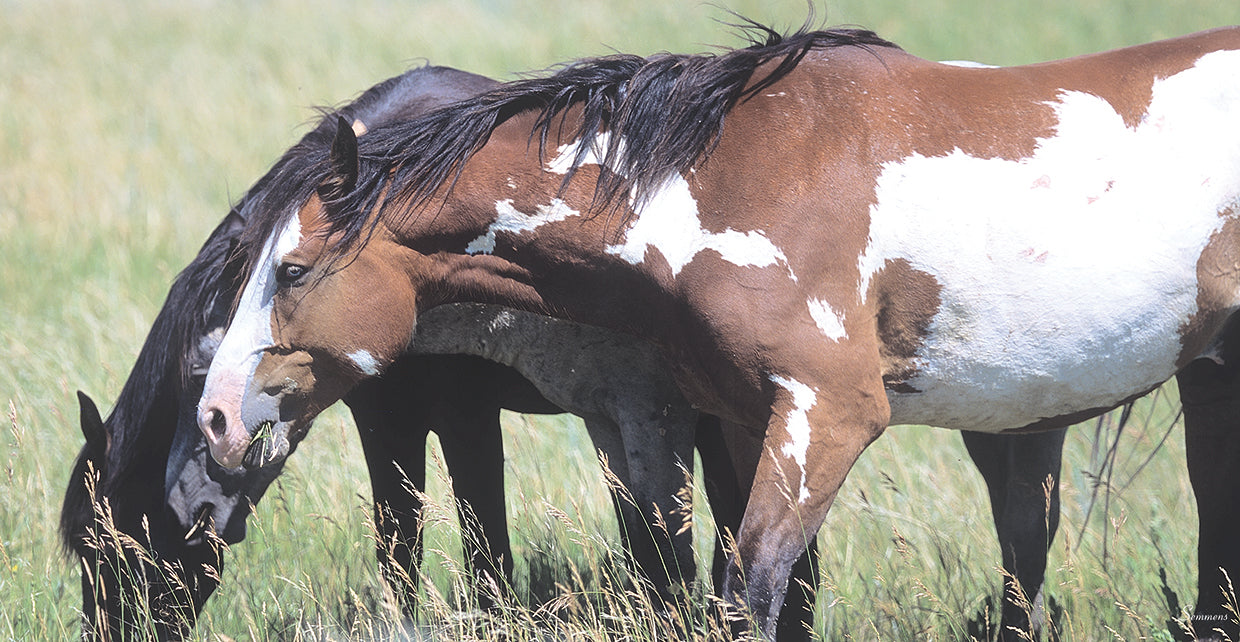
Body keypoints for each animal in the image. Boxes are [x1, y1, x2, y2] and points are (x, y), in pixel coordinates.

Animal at [194, 21, 1240, 641]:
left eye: (291, 271)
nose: (215, 418)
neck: (726, 177)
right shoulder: (743, 420)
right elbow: (765, 593)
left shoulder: (829, 417)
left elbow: (749, 596)